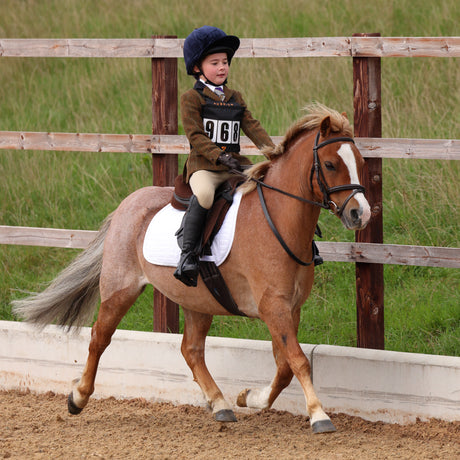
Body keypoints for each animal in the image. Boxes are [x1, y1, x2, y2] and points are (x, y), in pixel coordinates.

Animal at [13, 102, 370, 434]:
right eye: (330, 164)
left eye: (360, 163)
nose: (360, 214)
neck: (279, 220)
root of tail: (128, 203)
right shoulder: (274, 307)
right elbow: (297, 360)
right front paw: (319, 415)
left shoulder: (290, 308)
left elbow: (284, 367)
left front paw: (249, 397)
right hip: (119, 290)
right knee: (99, 337)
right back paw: (78, 397)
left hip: (199, 300)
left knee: (191, 350)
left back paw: (220, 404)